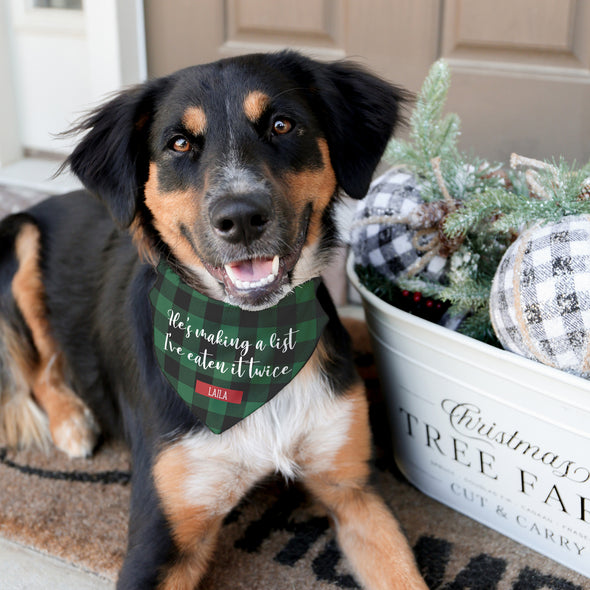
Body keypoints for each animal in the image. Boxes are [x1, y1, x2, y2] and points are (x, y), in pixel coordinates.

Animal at [0, 52, 428, 590]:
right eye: (180, 143)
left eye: (282, 125)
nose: (241, 218)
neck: (250, 343)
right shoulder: (161, 539)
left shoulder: (353, 489)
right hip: (20, 241)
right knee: (39, 365)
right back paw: (72, 422)